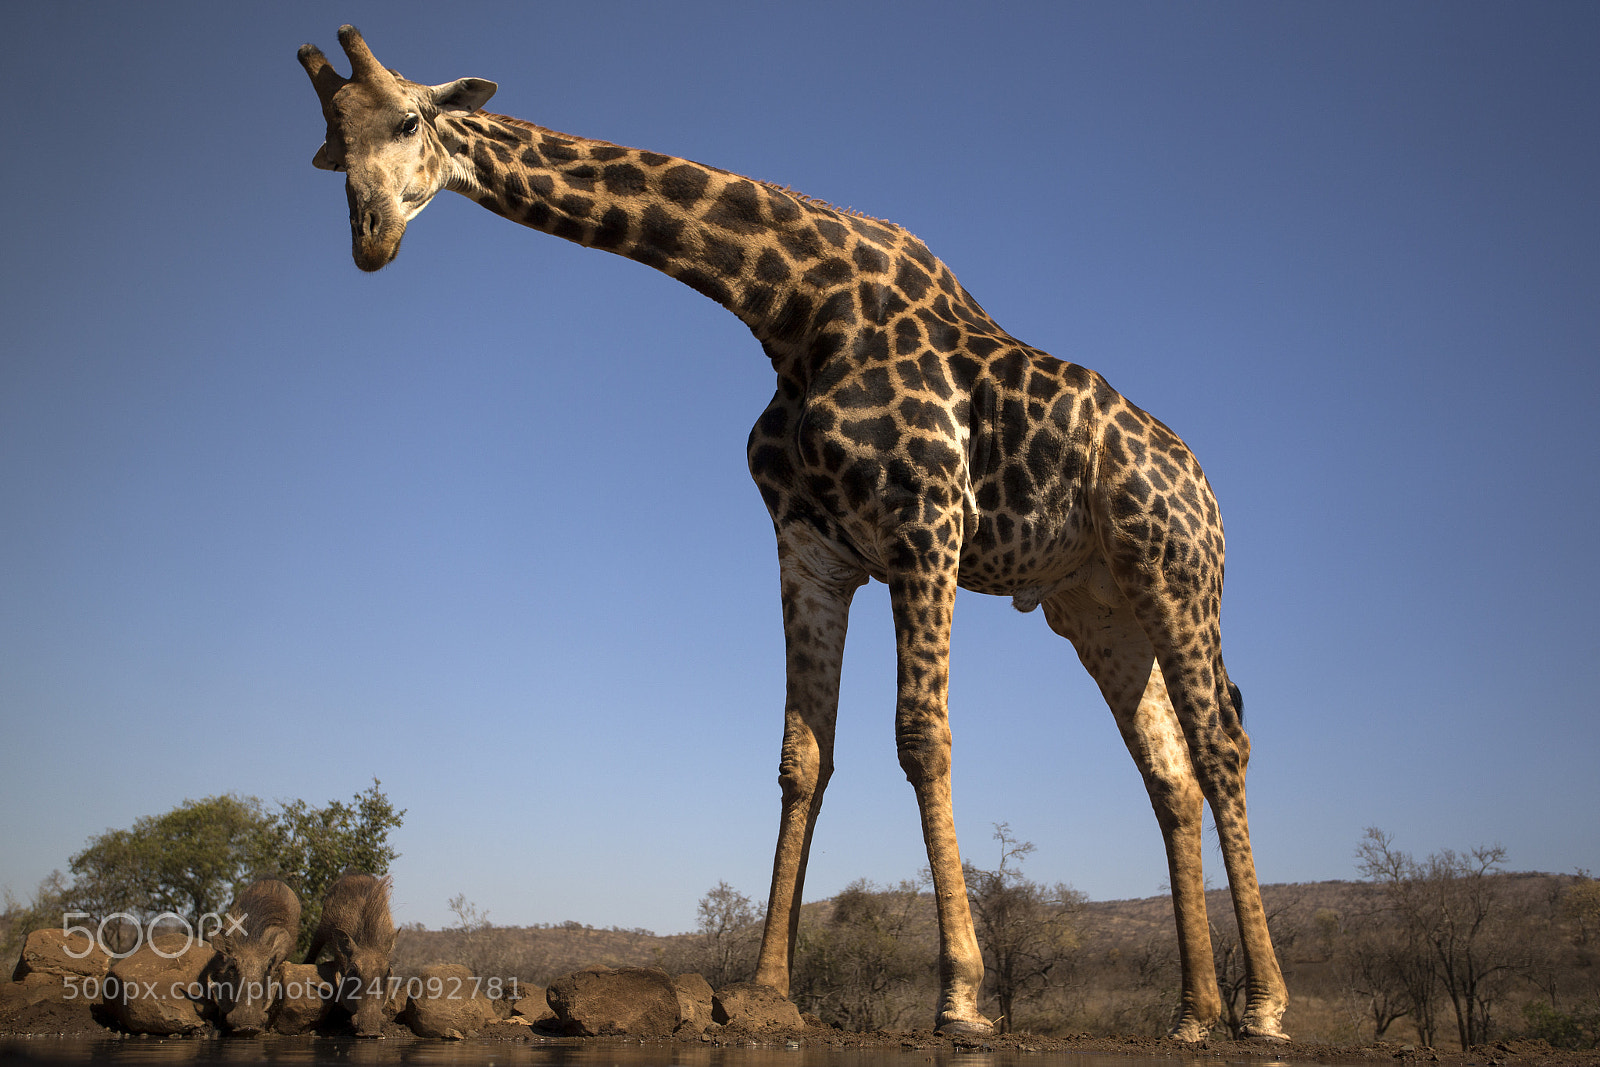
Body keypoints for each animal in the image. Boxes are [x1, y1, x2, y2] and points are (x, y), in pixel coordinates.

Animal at [296, 26, 1290, 1040]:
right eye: (331, 147)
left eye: (406, 119)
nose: (370, 239)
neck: (791, 306)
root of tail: (1205, 486)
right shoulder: (811, 552)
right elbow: (800, 758)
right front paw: (770, 987)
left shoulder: (926, 525)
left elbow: (921, 734)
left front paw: (960, 997)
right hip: (1098, 605)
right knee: (1169, 772)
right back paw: (1194, 1013)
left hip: (1174, 571)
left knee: (1222, 746)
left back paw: (1263, 1006)